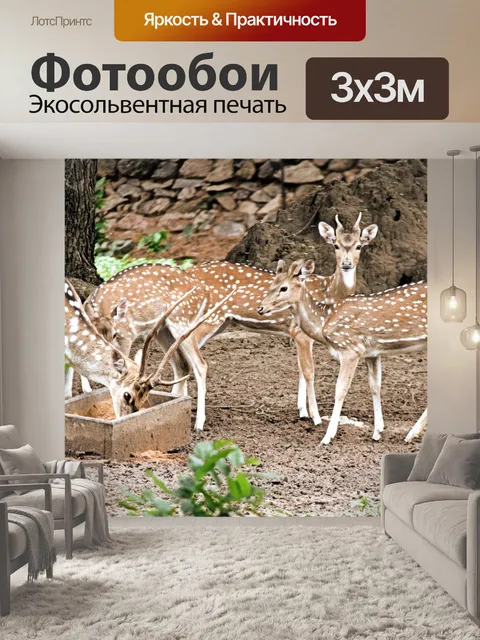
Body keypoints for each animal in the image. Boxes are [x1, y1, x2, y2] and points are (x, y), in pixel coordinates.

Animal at [258, 259, 427, 445]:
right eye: (271, 285)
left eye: (284, 288)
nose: (261, 308)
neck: (324, 322)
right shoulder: (372, 353)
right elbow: (375, 386)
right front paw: (377, 432)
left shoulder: (350, 348)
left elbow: (340, 389)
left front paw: (327, 437)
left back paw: (411, 434)